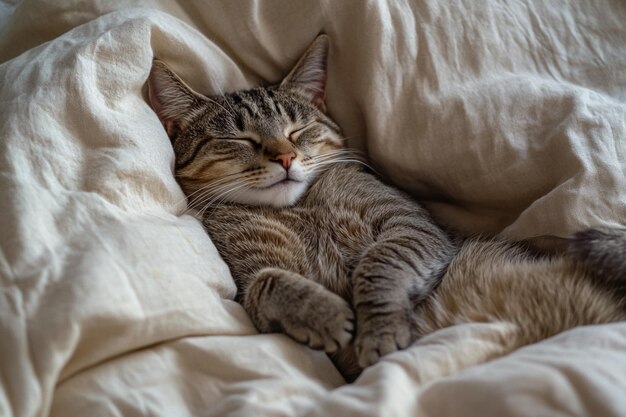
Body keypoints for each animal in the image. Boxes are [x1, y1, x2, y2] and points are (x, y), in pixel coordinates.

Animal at [147, 35, 624, 380]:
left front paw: (378, 329)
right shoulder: (251, 286)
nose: (284, 157)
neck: (298, 209)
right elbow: (268, 282)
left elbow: (379, 266)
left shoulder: (411, 226)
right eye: (240, 138)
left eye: (298, 129)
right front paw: (322, 313)